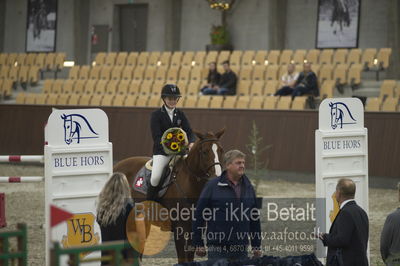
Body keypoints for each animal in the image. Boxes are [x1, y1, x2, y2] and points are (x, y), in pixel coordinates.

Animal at [112, 128, 225, 262]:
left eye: (221, 150)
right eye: (204, 152)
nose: (217, 177)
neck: (190, 184)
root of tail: (117, 166)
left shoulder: (194, 229)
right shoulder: (179, 229)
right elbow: (182, 257)